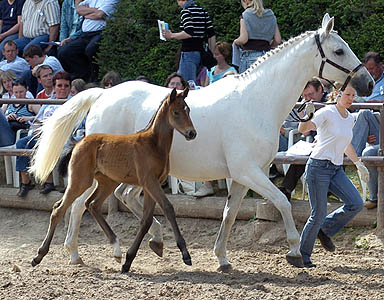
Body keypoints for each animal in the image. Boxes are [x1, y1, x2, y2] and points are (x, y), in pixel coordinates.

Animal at [31, 88, 196, 274]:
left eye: (188, 110)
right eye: (176, 112)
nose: (191, 133)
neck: (153, 144)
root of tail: (79, 142)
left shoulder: (152, 185)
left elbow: (146, 219)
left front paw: (129, 260)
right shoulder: (150, 182)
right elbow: (167, 208)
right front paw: (185, 255)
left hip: (107, 182)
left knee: (92, 205)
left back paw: (116, 250)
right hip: (80, 181)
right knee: (59, 209)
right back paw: (38, 256)